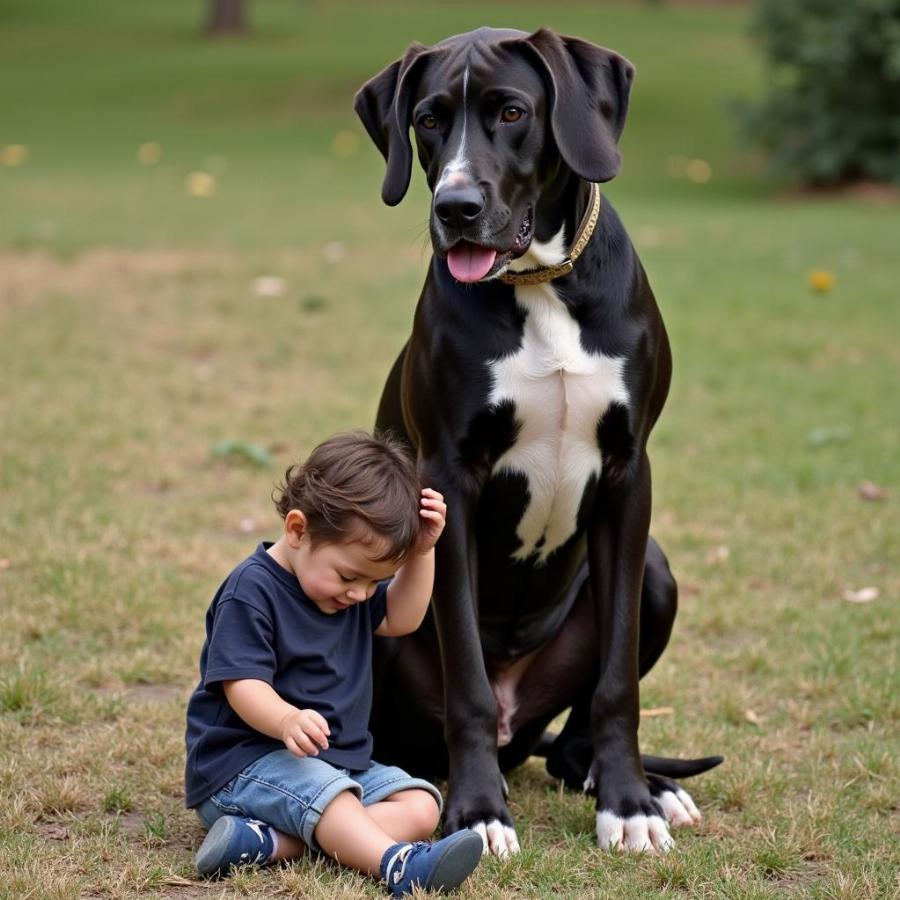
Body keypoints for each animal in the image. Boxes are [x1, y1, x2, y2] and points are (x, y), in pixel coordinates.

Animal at [356, 26, 720, 856]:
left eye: (513, 111)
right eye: (427, 119)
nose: (455, 207)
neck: (540, 285)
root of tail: (522, 727)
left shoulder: (628, 474)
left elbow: (618, 681)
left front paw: (629, 804)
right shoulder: (448, 481)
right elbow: (465, 674)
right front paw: (477, 813)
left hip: (655, 571)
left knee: (572, 742)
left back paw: (635, 783)